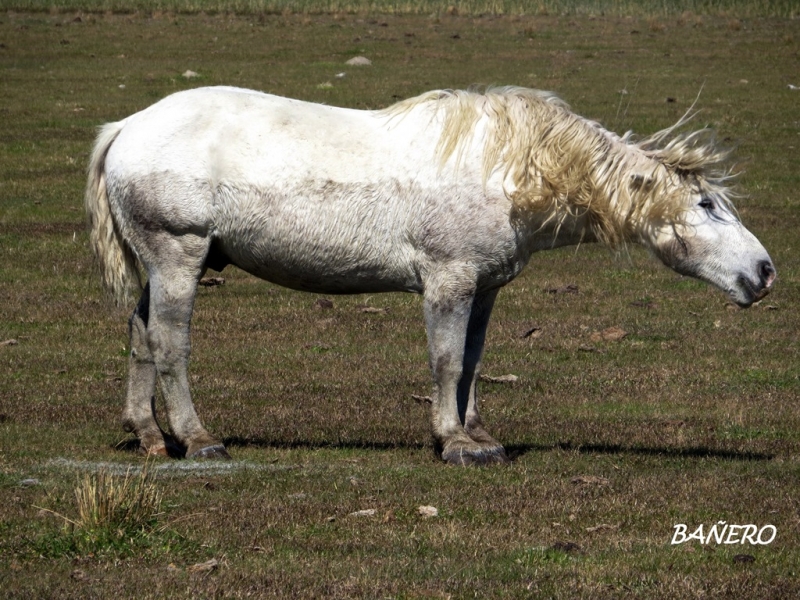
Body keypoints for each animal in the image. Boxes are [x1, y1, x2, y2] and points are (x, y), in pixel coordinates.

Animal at [87, 86, 776, 466]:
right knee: (169, 345)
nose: (765, 271)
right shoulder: (449, 281)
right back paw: (198, 438)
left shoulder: (484, 288)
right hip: (179, 256)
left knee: (140, 337)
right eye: (707, 205)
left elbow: (471, 362)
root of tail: (127, 127)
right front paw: (453, 442)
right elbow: (445, 362)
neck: (510, 169)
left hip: (167, 264)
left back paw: (150, 435)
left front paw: (478, 434)